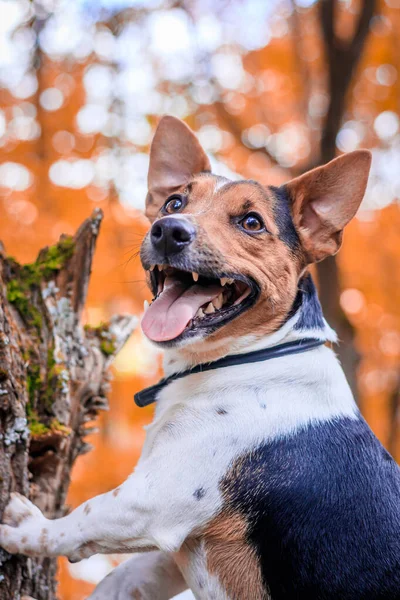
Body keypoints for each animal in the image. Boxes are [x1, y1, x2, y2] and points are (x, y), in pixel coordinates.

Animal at [0, 117, 400, 600]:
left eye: (251, 222)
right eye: (173, 202)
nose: (169, 230)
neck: (247, 358)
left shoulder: (156, 495)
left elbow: (83, 518)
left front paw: (23, 526)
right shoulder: (182, 543)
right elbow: (124, 578)